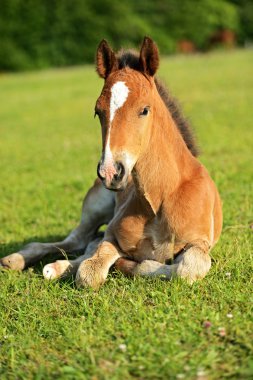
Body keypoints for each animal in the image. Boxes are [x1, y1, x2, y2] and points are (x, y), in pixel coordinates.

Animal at [0, 37, 221, 288]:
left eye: (145, 110)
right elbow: (90, 271)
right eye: (98, 112)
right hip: (95, 206)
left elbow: (187, 269)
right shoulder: (112, 235)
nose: (110, 172)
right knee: (76, 241)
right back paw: (16, 260)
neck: (162, 197)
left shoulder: (200, 242)